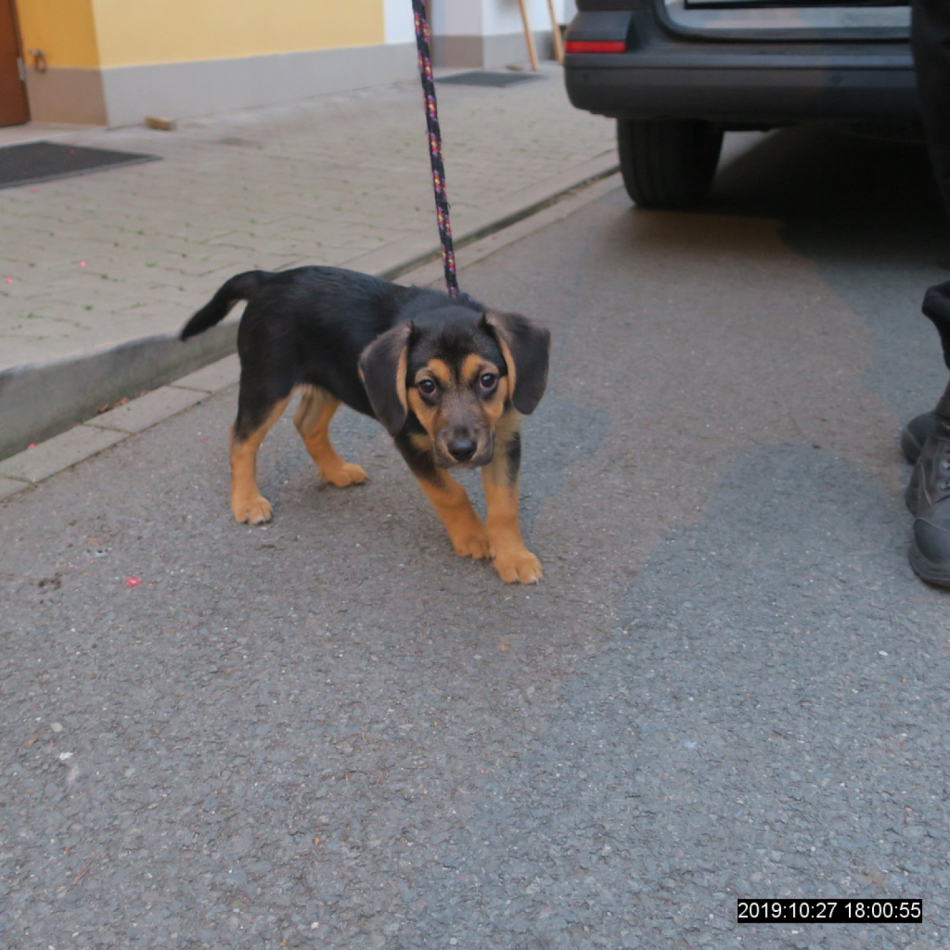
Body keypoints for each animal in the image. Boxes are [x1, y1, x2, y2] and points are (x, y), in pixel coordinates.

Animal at [180, 264, 552, 584]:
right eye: (427, 386)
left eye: (488, 379)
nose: (462, 451)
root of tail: (269, 279)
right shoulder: (409, 440)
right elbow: (450, 493)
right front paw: (474, 536)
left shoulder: (504, 438)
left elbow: (504, 505)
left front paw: (513, 557)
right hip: (268, 383)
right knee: (241, 437)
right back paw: (246, 501)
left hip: (335, 378)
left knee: (306, 423)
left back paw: (336, 471)